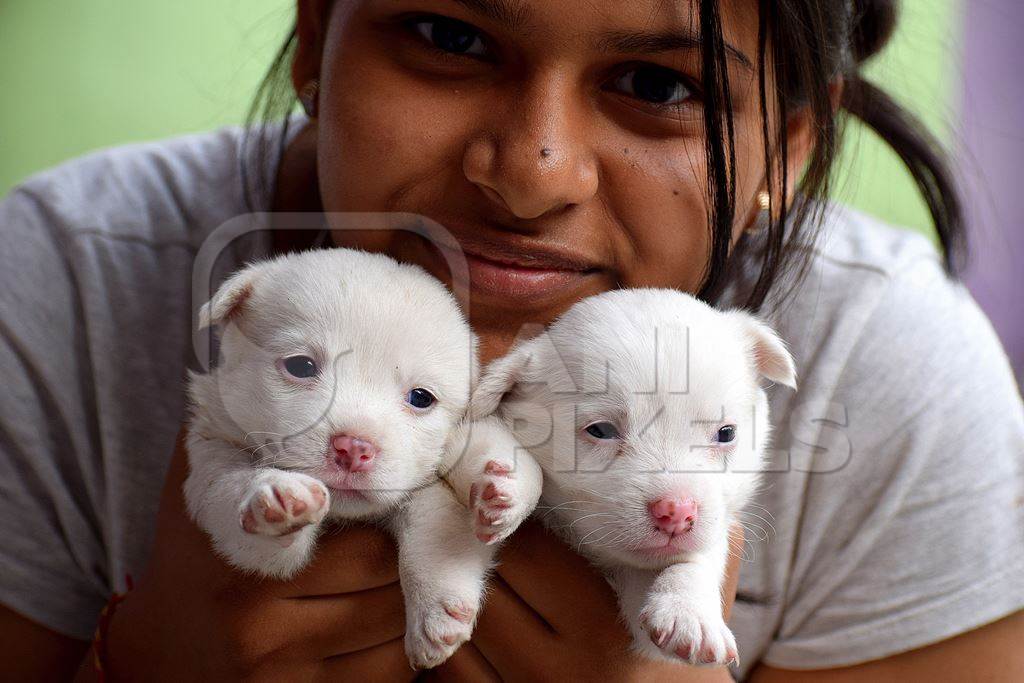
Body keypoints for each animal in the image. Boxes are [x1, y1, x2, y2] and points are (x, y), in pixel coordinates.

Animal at [187, 246, 544, 667]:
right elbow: (233, 497)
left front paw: (502, 491)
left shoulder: (443, 462)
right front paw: (275, 495)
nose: (354, 448)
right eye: (300, 366)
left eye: (421, 397)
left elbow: (438, 525)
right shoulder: (212, 457)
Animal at [468, 288, 794, 667]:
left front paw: (690, 611)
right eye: (601, 430)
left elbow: (699, 557)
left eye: (726, 433)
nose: (677, 513)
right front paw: (508, 492)